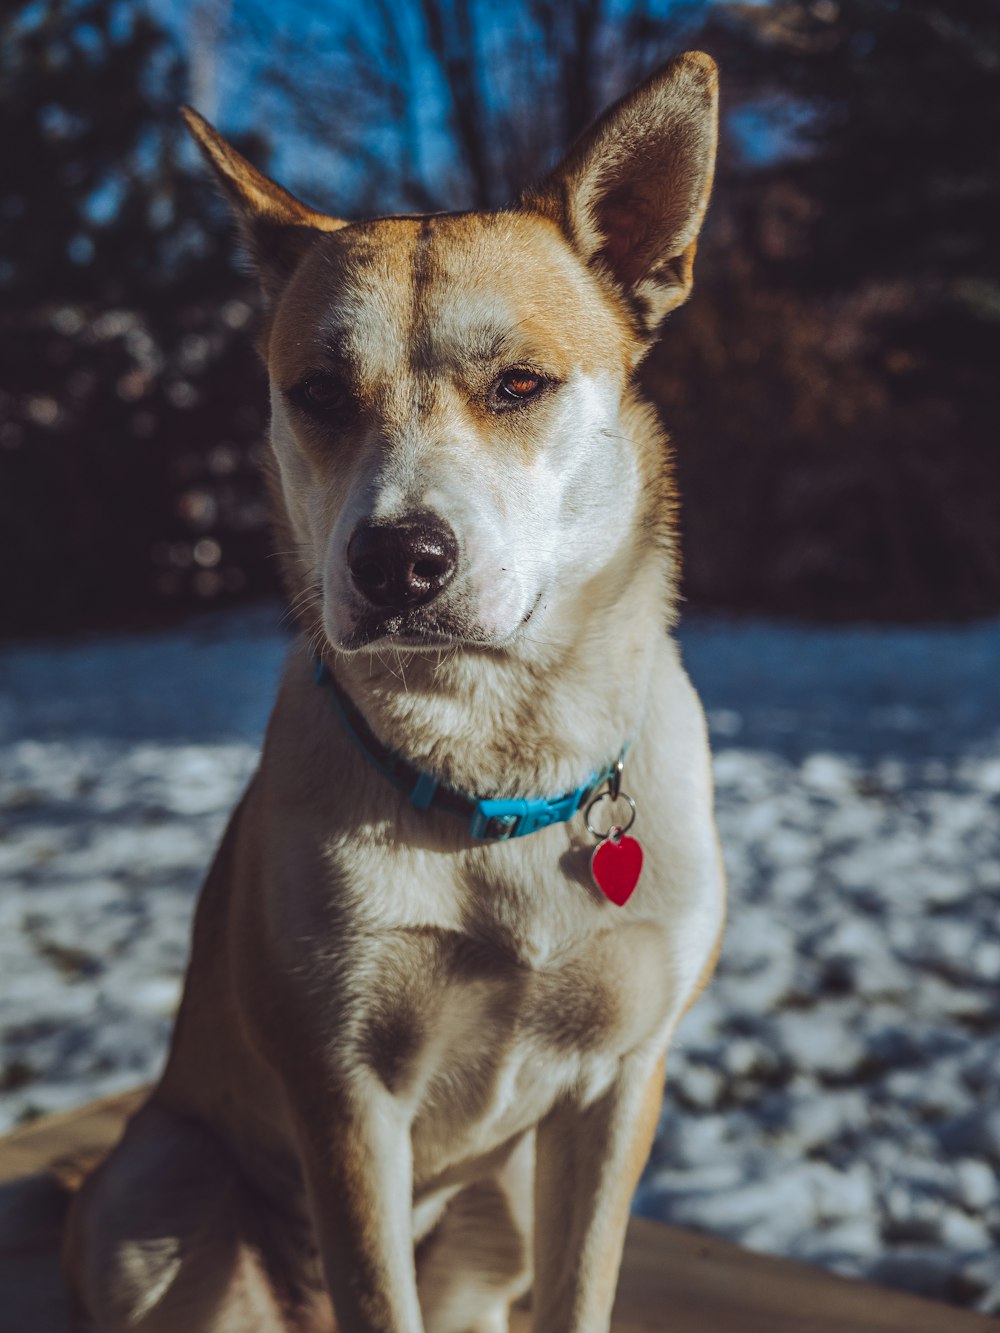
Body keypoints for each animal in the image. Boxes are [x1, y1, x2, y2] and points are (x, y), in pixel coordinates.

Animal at [64, 51, 730, 1333]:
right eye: (318, 391)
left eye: (520, 383)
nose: (397, 562)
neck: (498, 756)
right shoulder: (343, 1096)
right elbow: (378, 1289)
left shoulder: (619, 1083)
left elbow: (582, 1284)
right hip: (152, 1187)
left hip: (501, 1199)